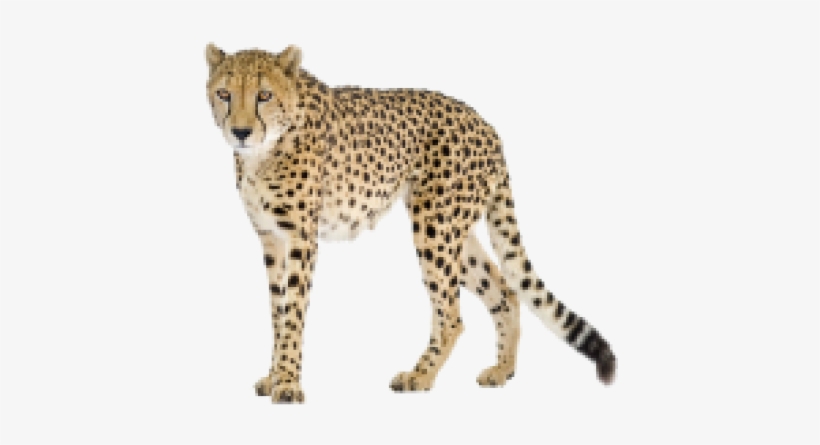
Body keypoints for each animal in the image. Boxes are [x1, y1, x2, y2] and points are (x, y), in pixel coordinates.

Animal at [205, 43, 616, 403]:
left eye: (264, 95)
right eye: (224, 94)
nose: (240, 132)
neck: (262, 152)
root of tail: (486, 124)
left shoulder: (301, 238)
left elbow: (293, 314)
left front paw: (288, 384)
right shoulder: (271, 239)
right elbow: (277, 311)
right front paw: (274, 376)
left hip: (434, 227)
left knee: (452, 315)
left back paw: (419, 375)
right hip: (453, 232)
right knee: (504, 291)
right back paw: (502, 369)